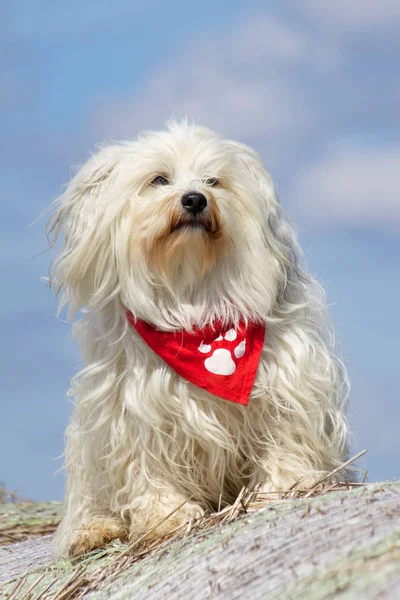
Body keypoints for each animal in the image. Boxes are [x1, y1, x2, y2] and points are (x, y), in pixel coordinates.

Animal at [48, 122, 350, 556]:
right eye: (159, 179)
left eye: (213, 181)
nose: (194, 199)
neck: (193, 294)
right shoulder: (135, 409)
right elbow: (147, 466)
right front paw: (166, 518)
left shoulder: (287, 383)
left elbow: (284, 440)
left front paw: (284, 490)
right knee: (88, 502)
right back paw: (94, 531)